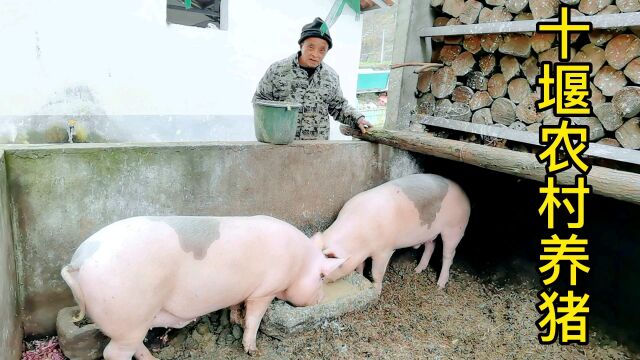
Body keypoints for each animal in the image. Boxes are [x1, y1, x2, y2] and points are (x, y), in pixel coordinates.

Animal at [61, 215, 344, 358]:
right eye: (321, 277)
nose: (321, 299)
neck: (299, 262)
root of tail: (78, 262)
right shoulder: (266, 290)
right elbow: (255, 318)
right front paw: (252, 350)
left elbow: (237, 307)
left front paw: (234, 319)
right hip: (128, 315)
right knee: (113, 353)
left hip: (132, 322)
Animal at [312, 173, 470, 292]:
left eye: (324, 272)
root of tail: (465, 196)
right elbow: (360, 267)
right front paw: (361, 277)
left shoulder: (384, 250)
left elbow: (376, 272)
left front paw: (376, 291)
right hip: (430, 233)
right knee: (431, 246)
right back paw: (417, 270)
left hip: (455, 227)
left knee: (449, 255)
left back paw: (440, 285)